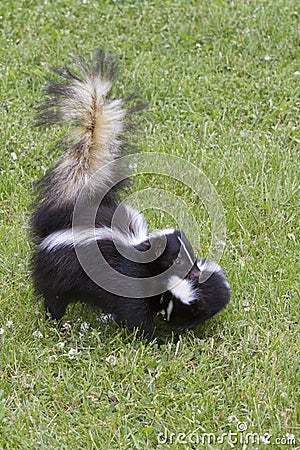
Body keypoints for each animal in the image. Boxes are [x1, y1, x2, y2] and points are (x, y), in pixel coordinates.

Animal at [29, 49, 230, 340]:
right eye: (178, 258)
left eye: (191, 254)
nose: (195, 272)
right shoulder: (129, 278)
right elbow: (133, 310)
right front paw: (153, 338)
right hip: (59, 268)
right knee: (54, 295)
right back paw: (56, 321)